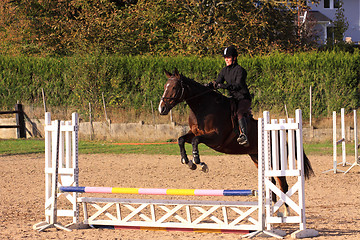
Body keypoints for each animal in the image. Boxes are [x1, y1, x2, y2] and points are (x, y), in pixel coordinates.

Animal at [158, 68, 316, 216]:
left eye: (174, 87)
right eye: (165, 86)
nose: (162, 108)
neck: (203, 107)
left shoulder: (215, 138)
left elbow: (196, 142)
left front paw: (199, 162)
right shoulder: (195, 133)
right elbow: (181, 139)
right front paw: (187, 161)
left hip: (275, 159)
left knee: (283, 184)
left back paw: (286, 212)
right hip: (256, 157)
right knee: (271, 182)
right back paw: (273, 211)